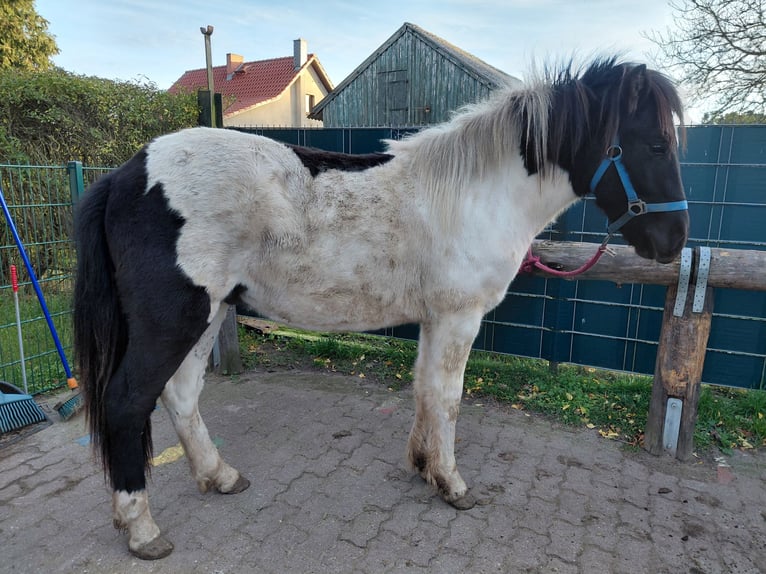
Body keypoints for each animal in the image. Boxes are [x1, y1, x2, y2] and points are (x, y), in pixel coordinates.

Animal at [73, 56, 688, 560]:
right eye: (656, 145)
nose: (674, 242)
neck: (478, 194)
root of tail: (125, 175)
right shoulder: (458, 318)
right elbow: (448, 399)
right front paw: (451, 484)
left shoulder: (435, 319)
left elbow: (423, 392)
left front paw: (422, 466)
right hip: (173, 320)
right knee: (128, 403)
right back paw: (142, 529)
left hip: (208, 315)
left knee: (181, 395)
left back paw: (219, 475)